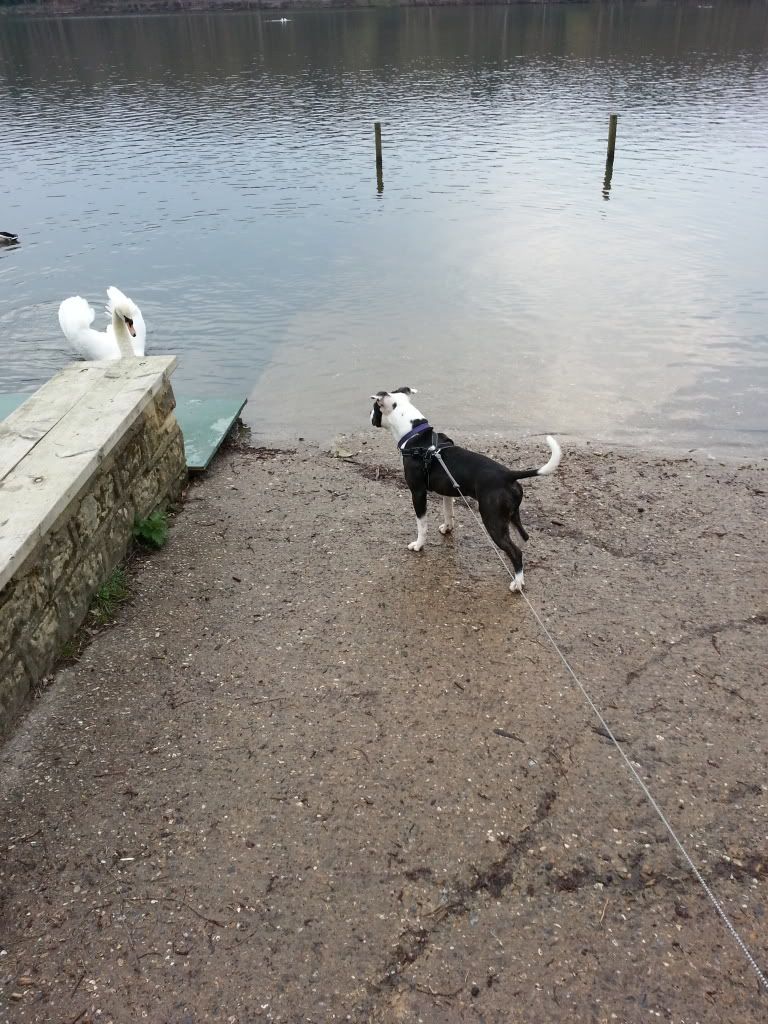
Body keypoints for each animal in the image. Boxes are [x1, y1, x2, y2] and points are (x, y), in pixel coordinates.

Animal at [370, 385, 561, 593]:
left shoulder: (418, 493)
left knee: (515, 551)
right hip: (511, 515)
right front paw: (447, 528)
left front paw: (418, 545)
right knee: (523, 538)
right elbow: (448, 513)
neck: (415, 436)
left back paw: (517, 583)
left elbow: (422, 525)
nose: (369, 414)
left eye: (375, 407)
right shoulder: (447, 492)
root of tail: (508, 475)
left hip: (492, 520)